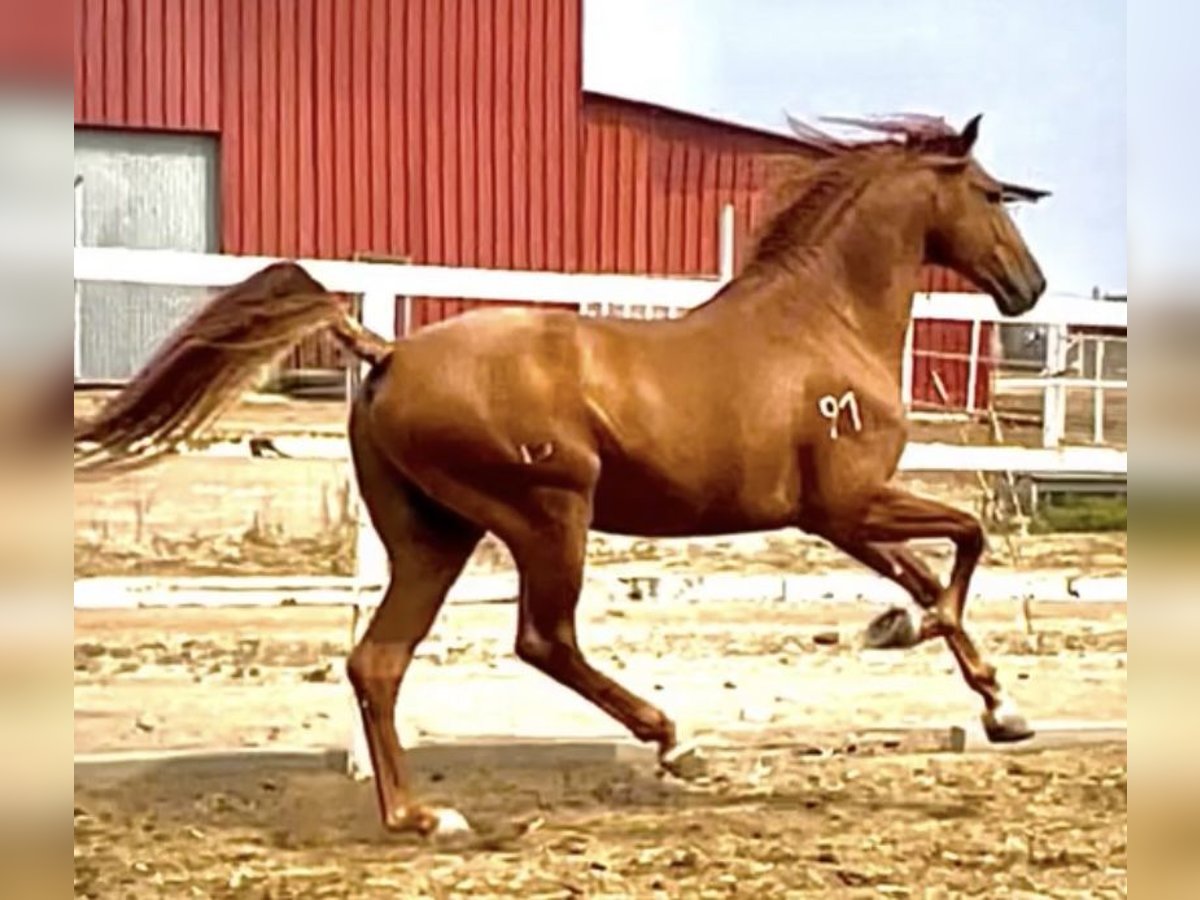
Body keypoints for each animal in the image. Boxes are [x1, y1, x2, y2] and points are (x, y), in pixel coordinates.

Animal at [75, 114, 1051, 840]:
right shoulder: (846, 505)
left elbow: (931, 570)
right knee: (545, 641)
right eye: (991, 193)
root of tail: (386, 350)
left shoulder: (839, 518)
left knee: (378, 661)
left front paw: (980, 692)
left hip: (434, 535)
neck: (823, 325)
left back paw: (422, 817)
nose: (1029, 288)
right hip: (548, 514)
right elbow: (967, 542)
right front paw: (934, 654)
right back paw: (675, 743)